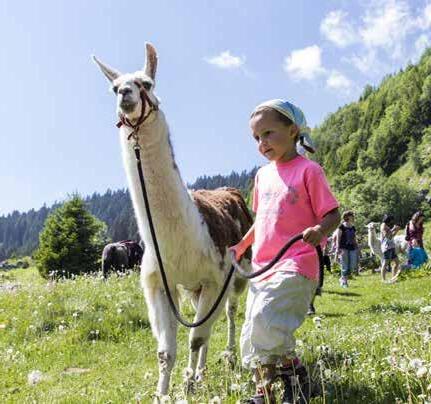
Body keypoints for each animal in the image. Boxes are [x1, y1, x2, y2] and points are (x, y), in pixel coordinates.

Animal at [93, 44, 252, 398]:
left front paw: (189, 385)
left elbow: (196, 337)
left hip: (237, 274)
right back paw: (203, 371)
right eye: (114, 86)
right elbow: (166, 351)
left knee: (229, 313)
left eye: (146, 83)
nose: (125, 95)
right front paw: (164, 392)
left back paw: (227, 355)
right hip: (193, 288)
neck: (180, 240)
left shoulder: (215, 276)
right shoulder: (158, 283)